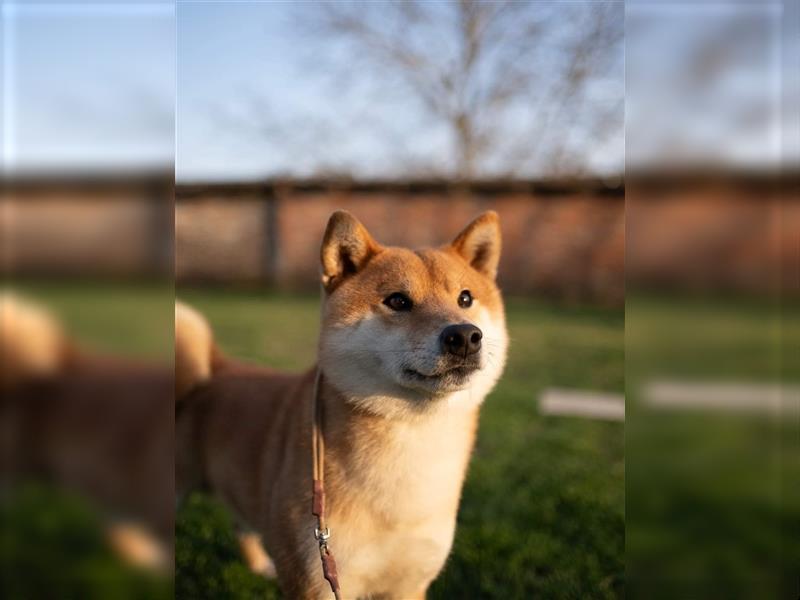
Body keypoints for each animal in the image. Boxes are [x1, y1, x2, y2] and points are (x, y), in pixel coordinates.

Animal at [175, 211, 506, 600]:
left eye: (465, 298)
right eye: (398, 301)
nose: (465, 336)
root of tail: (216, 366)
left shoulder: (410, 581)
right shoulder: (315, 578)